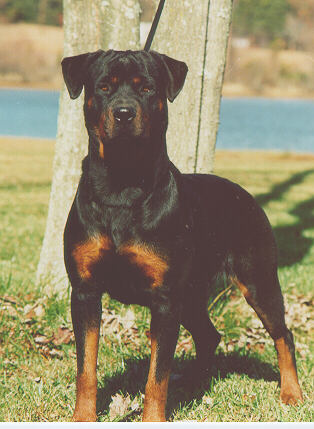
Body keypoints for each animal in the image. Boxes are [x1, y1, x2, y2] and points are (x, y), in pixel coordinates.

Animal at [62, 48, 302, 420]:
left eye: (147, 88)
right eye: (103, 87)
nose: (124, 113)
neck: (122, 186)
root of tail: (246, 196)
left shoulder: (164, 298)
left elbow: (156, 376)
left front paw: (153, 419)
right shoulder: (85, 291)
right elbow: (86, 367)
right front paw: (83, 417)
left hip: (257, 279)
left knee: (282, 335)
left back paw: (291, 393)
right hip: (190, 294)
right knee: (209, 335)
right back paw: (195, 386)